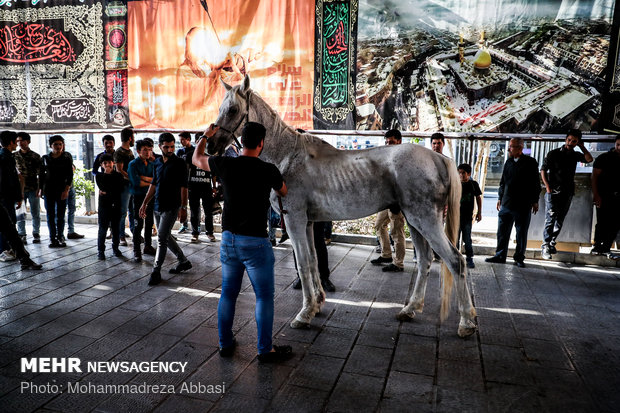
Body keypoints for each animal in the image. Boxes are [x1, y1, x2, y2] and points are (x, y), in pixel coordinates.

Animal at [208, 75, 474, 336]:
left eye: (232, 109)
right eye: (219, 108)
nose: (210, 146)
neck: (287, 157)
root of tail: (438, 158)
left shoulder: (294, 219)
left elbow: (303, 263)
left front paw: (303, 314)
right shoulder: (307, 223)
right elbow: (313, 260)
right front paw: (316, 304)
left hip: (426, 220)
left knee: (455, 260)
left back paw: (466, 322)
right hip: (415, 221)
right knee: (426, 260)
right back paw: (410, 309)